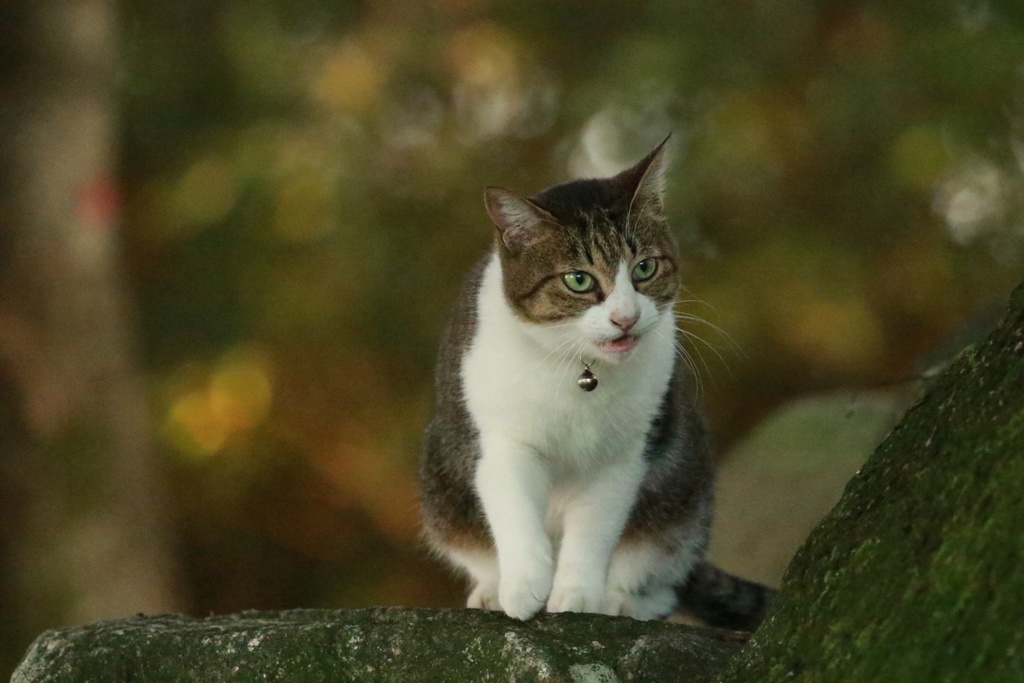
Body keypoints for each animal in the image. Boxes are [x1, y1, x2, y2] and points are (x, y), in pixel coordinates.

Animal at [419, 139, 770, 630]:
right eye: (579, 279)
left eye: (644, 268)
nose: (625, 317)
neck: (579, 372)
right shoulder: (501, 441)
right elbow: (514, 509)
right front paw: (525, 585)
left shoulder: (623, 456)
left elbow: (594, 531)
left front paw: (578, 594)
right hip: (441, 480)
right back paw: (490, 589)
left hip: (684, 490)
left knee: (662, 574)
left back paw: (622, 601)